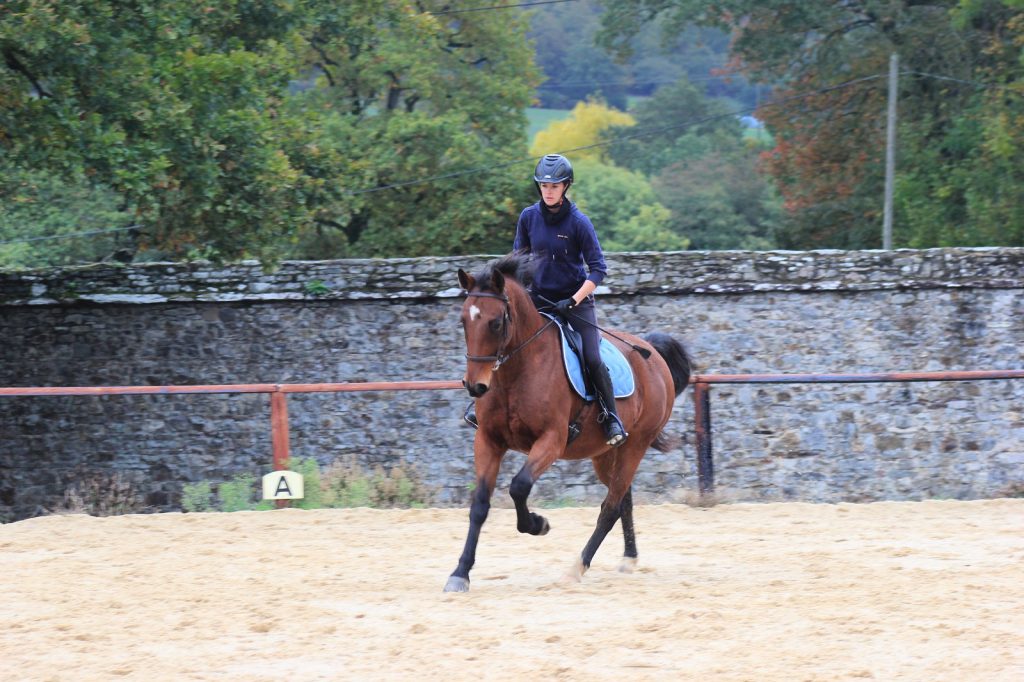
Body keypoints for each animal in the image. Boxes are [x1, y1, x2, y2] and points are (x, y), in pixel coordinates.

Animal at [444, 252, 694, 592]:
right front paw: (460, 573)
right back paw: (628, 558)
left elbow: (519, 487)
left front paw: (538, 524)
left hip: (636, 445)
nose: (475, 386)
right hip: (605, 453)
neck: (517, 373)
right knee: (622, 500)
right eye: (463, 321)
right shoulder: (488, 441)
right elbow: (480, 504)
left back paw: (576, 568)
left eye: (495, 323)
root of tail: (652, 353)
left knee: (610, 508)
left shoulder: (551, 440)